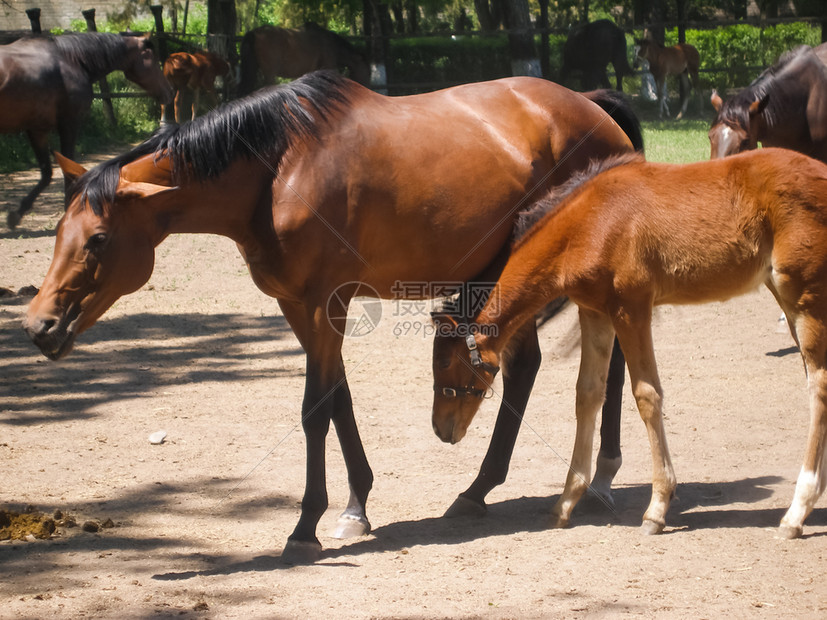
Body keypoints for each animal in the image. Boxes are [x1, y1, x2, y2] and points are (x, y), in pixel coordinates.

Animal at [0, 32, 171, 230]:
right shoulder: (69, 124)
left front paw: (16, 215)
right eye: (152, 57)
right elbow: (65, 168)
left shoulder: (37, 129)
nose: (168, 90)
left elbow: (47, 173)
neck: (70, 60)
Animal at [21, 71, 640, 560]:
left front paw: (305, 526)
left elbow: (315, 410)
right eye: (58, 232)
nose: (38, 325)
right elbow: (338, 397)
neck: (277, 172)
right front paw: (355, 507)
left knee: (606, 362)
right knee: (534, 364)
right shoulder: (301, 308)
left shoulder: (324, 305)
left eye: (98, 240)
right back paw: (485, 490)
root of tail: (591, 106)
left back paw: (597, 476)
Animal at [430, 148, 827, 540]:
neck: (590, 224)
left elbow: (647, 395)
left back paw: (796, 513)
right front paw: (565, 503)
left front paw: (657, 508)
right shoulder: (594, 313)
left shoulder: (631, 308)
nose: (440, 429)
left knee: (818, 384)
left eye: (450, 371)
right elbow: (588, 394)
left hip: (803, 296)